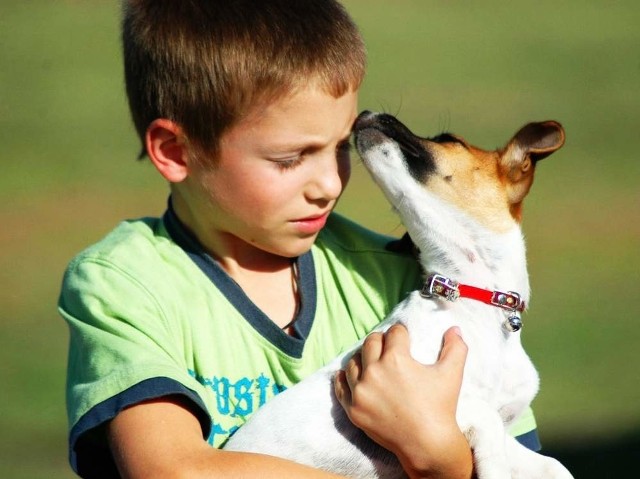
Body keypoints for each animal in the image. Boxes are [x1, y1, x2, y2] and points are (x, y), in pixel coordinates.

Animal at [224, 111, 568, 479]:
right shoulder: (437, 400)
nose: (365, 113)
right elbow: (487, 422)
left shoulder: (506, 433)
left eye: (448, 139)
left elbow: (553, 465)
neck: (474, 302)